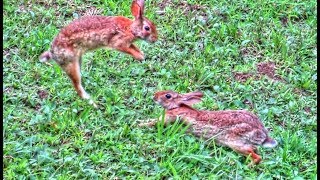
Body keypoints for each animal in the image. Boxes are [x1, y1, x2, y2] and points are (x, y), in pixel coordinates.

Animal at [139, 90, 278, 165]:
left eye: (168, 95)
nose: (154, 96)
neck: (177, 106)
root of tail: (263, 134)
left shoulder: (172, 117)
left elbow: (155, 122)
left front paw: (140, 124)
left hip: (235, 142)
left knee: (256, 156)